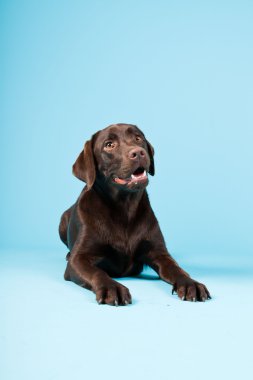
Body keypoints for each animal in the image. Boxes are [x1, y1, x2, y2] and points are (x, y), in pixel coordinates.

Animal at [58, 124, 211, 306]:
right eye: (109, 145)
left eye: (138, 138)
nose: (138, 152)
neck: (124, 208)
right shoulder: (78, 260)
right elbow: (97, 272)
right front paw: (112, 287)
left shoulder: (160, 253)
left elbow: (177, 269)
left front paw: (190, 284)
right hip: (62, 221)